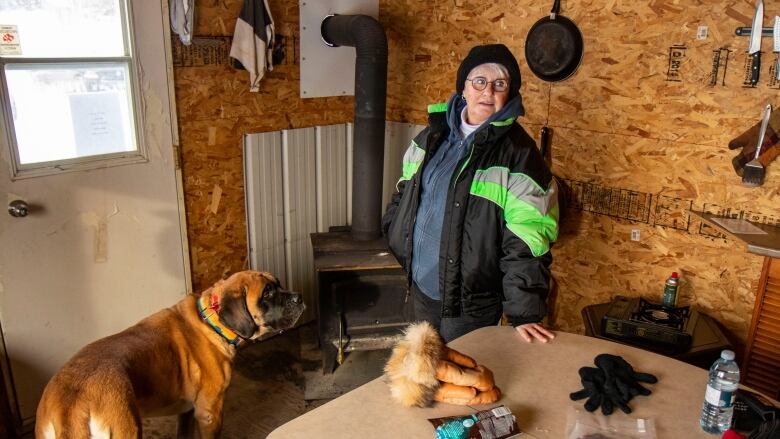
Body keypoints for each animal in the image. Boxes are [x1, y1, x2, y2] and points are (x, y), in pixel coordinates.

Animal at [35, 272, 304, 439]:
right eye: (267, 294)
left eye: (278, 284)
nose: (299, 297)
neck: (211, 321)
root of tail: (71, 407)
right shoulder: (210, 413)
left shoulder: (186, 412)